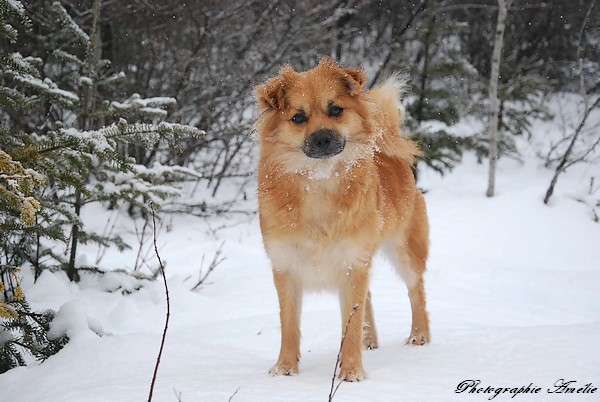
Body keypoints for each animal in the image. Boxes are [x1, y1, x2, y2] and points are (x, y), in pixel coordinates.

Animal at [255, 58, 428, 382]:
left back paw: (419, 335)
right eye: (298, 117)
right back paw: (370, 340)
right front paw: (285, 366)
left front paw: (351, 370)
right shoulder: (286, 267)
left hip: (405, 250)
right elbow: (289, 324)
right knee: (371, 296)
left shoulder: (352, 264)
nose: (323, 137)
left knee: (416, 289)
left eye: (335, 110)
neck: (319, 184)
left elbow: (351, 323)